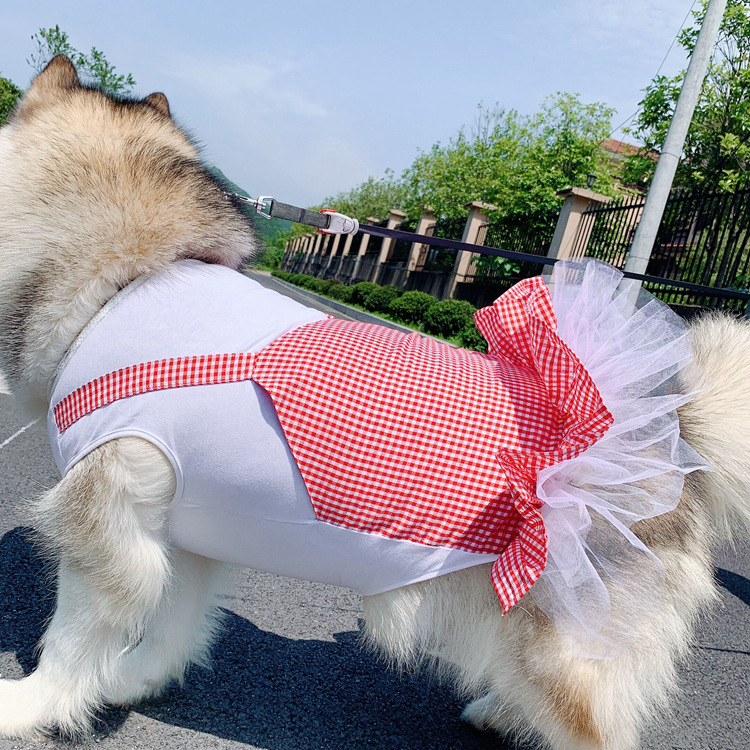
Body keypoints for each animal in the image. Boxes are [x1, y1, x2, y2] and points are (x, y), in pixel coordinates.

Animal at [1, 54, 749, 750]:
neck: (126, 281)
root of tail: (676, 431)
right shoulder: (184, 527)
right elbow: (173, 626)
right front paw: (132, 680)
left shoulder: (105, 519)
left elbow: (68, 644)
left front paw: (30, 707)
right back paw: (501, 712)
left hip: (560, 647)